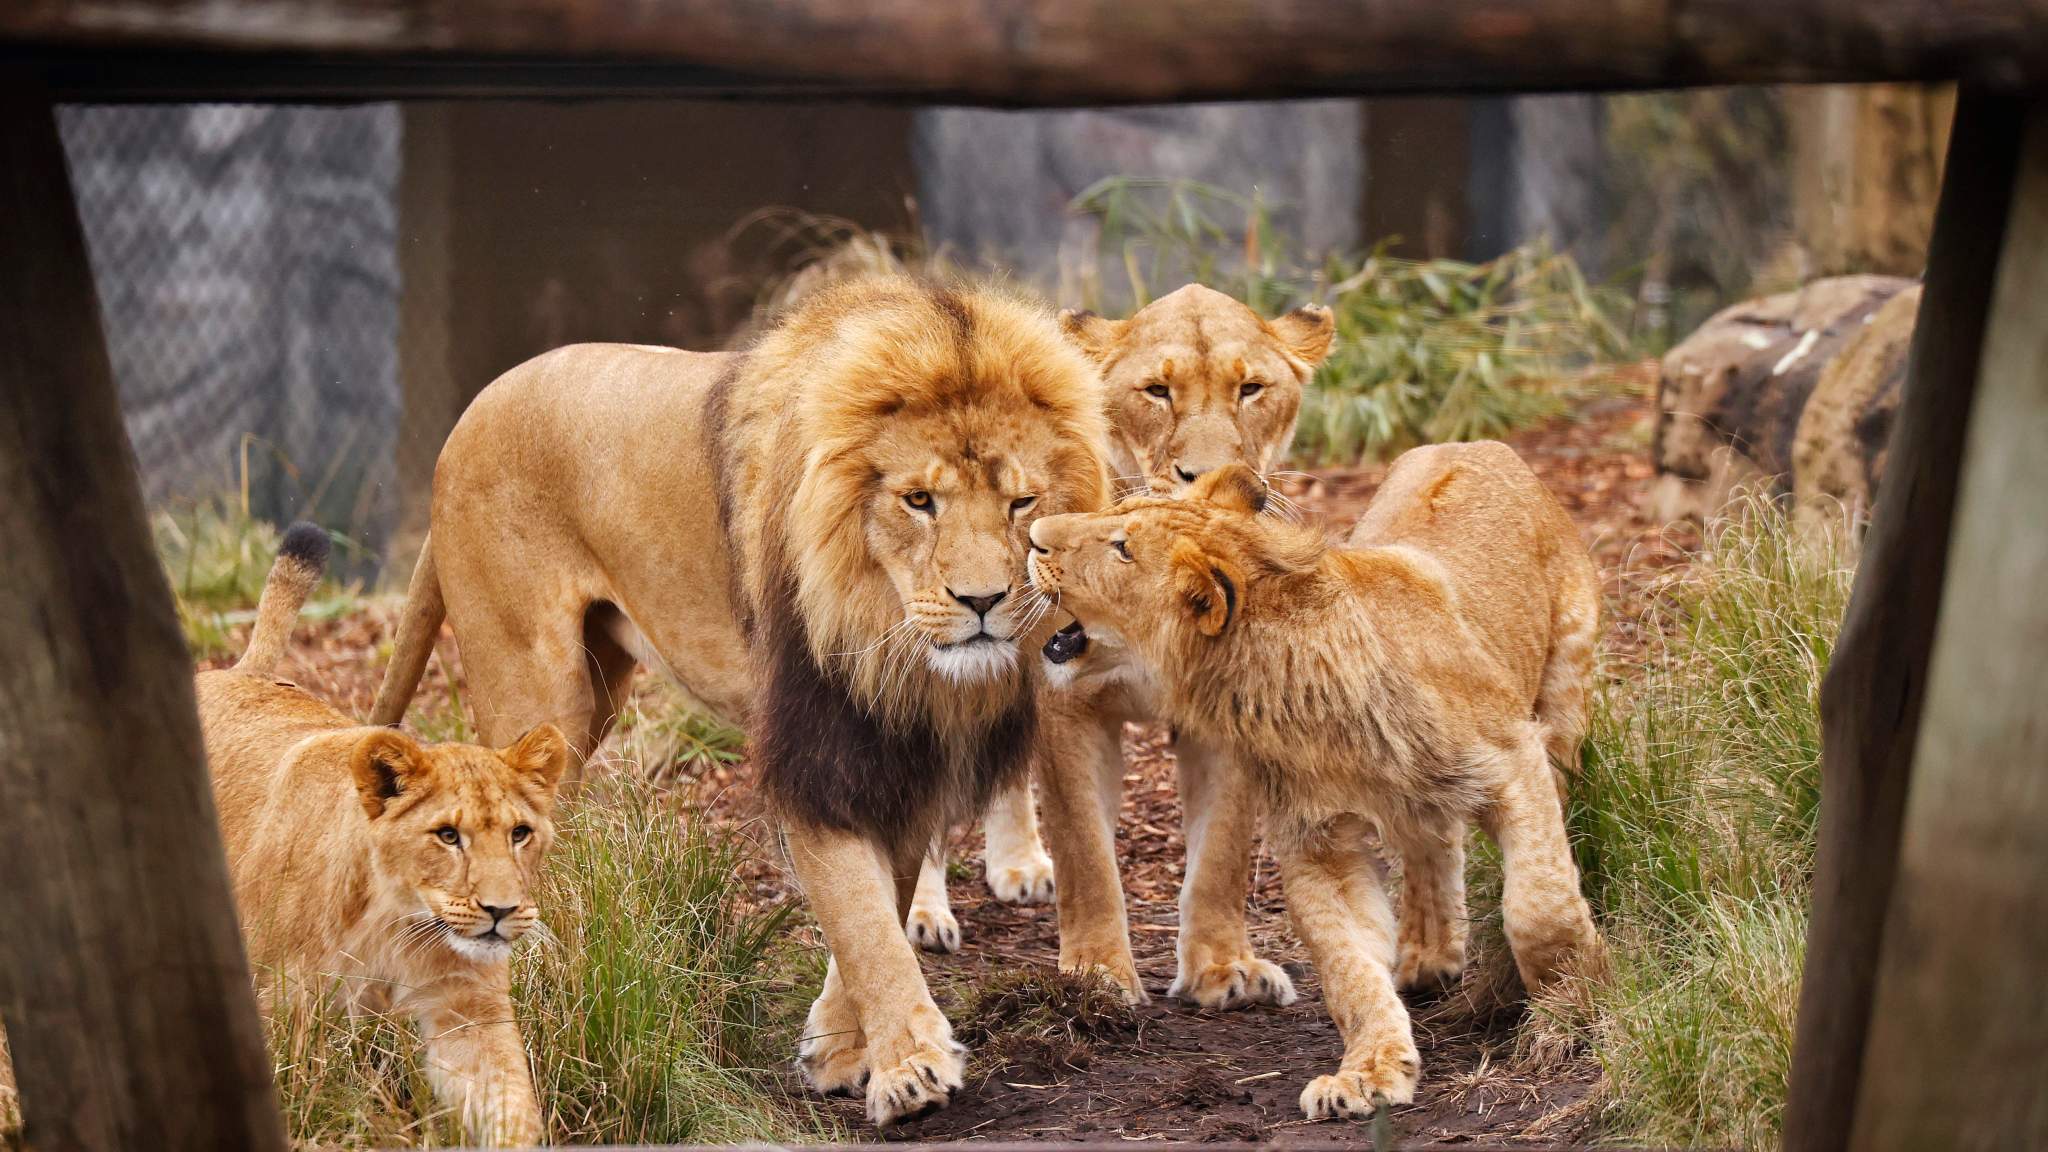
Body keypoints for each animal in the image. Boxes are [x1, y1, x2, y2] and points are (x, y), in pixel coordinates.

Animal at [200, 520, 569, 1139]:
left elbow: (507, 1102)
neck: (396, 923)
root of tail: (242, 672)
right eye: (448, 836)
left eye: (520, 834)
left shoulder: (466, 1010)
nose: (499, 911)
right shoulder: (283, 1004)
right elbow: (300, 1098)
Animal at [366, 272, 1105, 1115]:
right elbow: (861, 916)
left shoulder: (897, 746)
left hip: (595, 692)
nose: (982, 602)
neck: (886, 629)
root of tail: (466, 415)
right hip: (536, 686)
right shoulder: (816, 747)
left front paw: (837, 1047)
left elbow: (881, 901)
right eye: (920, 501)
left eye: (1021, 502)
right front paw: (912, 1070)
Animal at [905, 286, 1335, 1012]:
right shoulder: (1067, 708)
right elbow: (1086, 852)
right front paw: (1097, 975)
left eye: (1251, 388)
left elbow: (1220, 853)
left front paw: (1224, 969)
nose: (1209, 476)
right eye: (1156, 391)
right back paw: (923, 912)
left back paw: (1019, 865)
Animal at [1024, 446, 1597, 1115]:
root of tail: (1477, 446)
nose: (1033, 534)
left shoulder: (1514, 760)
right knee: (1431, 843)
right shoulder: (1316, 841)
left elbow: (1538, 906)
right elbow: (1347, 968)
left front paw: (1575, 1001)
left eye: (1122, 548)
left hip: (1564, 698)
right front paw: (1367, 1072)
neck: (1290, 683)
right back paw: (1429, 955)